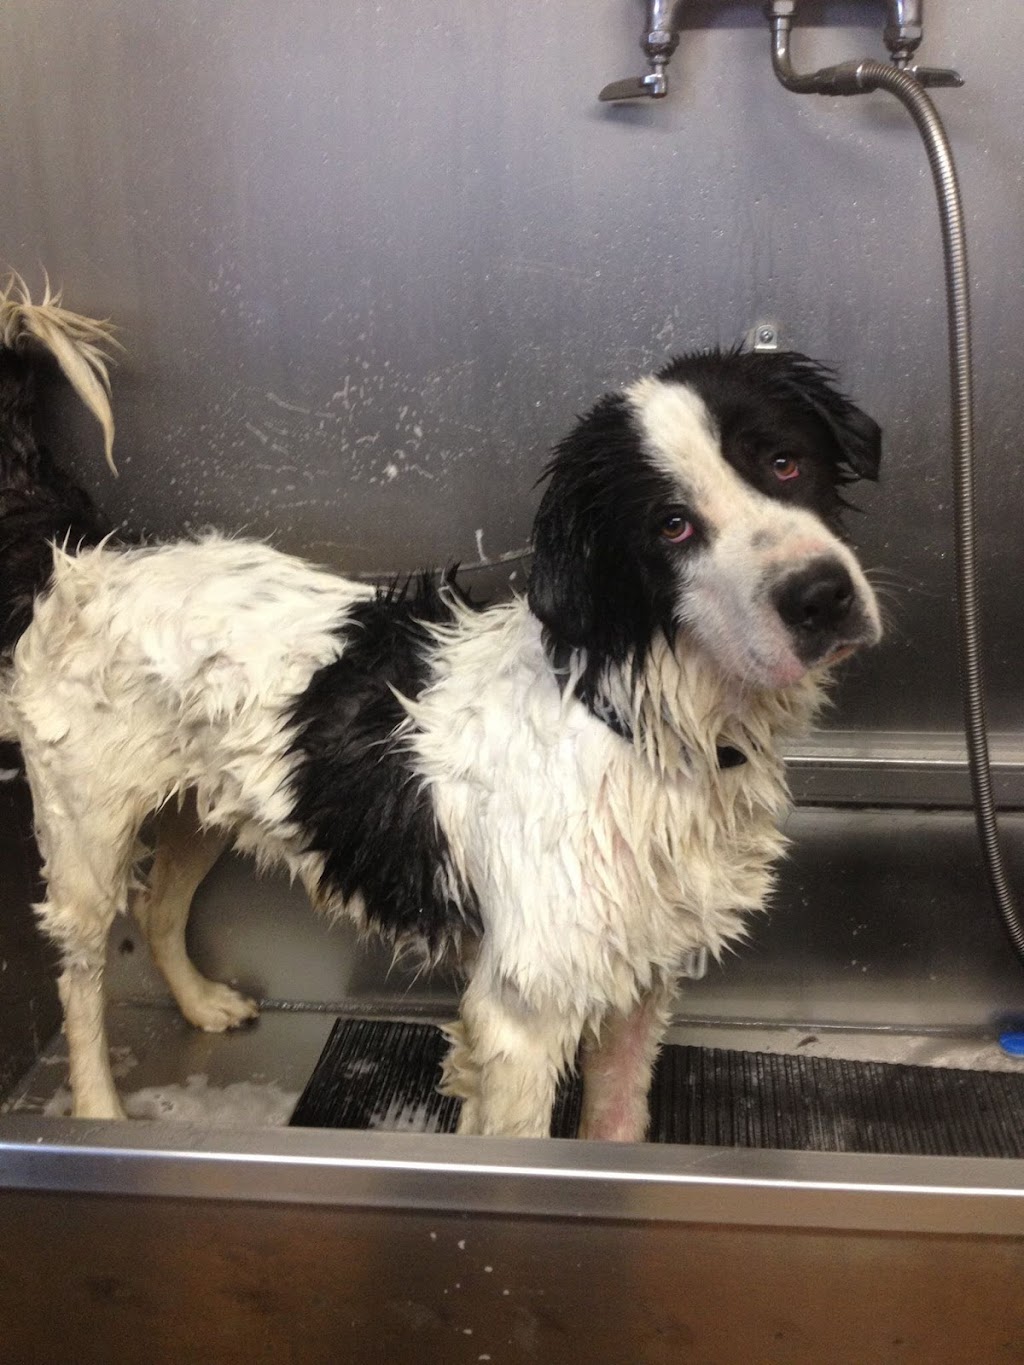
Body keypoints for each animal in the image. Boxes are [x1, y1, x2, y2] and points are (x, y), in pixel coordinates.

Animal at [0, 282, 882, 1137]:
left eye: (785, 462)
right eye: (671, 525)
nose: (821, 595)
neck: (637, 718)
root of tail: (87, 561)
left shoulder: (639, 974)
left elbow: (615, 1127)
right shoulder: (524, 1015)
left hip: (201, 808)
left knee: (158, 908)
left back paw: (200, 1002)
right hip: (87, 837)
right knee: (81, 975)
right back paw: (98, 1108)